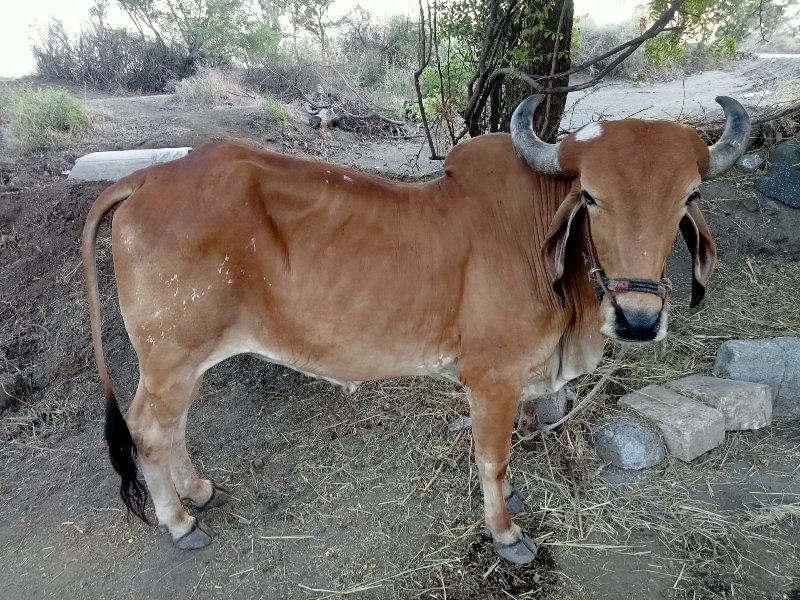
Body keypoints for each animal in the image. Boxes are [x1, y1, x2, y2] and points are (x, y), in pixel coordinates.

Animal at [81, 94, 752, 564]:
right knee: (149, 432)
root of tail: (146, 177)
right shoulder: (492, 378)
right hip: (171, 355)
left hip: (181, 360)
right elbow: (494, 458)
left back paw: (196, 491)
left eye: (689, 195)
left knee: (165, 427)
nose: (639, 319)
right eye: (589, 197)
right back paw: (179, 522)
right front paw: (505, 532)